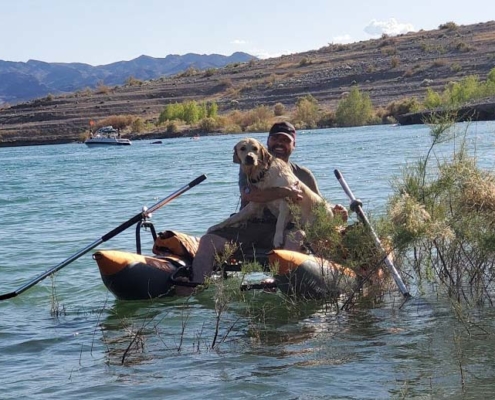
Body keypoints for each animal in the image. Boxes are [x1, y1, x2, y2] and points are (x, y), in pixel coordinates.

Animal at [207, 138, 336, 247]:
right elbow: (233, 218)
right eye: (242, 148)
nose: (250, 158)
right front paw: (216, 226)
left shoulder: (286, 200)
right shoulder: (255, 204)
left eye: (255, 148)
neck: (262, 173)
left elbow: (279, 223)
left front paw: (277, 239)